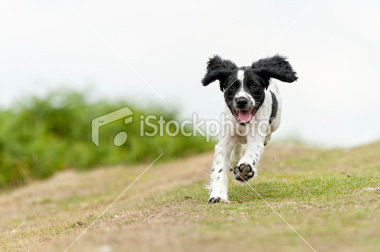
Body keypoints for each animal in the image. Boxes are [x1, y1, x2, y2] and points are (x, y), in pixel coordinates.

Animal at [200, 54, 298, 203]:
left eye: (254, 86)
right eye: (231, 87)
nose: (241, 101)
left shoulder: (256, 138)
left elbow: (252, 153)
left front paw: (245, 170)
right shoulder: (225, 141)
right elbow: (219, 168)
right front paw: (218, 195)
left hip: (276, 122)